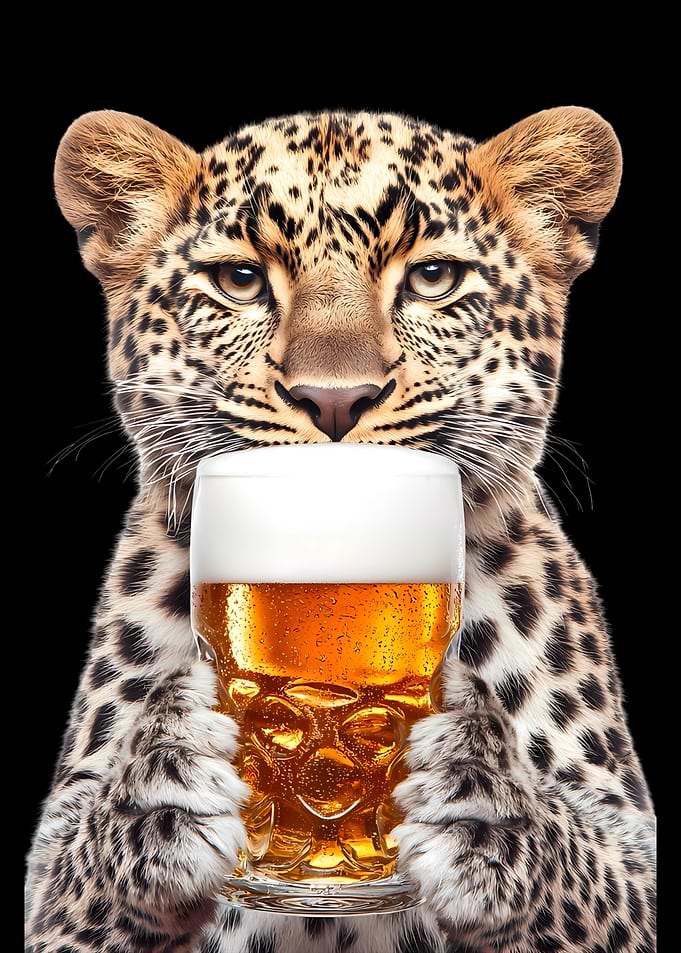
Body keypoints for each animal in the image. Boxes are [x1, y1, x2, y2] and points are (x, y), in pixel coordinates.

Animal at [25, 106, 656, 953]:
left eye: (432, 278)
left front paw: (485, 802)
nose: (333, 399)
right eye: (239, 280)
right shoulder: (51, 890)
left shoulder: (629, 851)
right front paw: (161, 788)